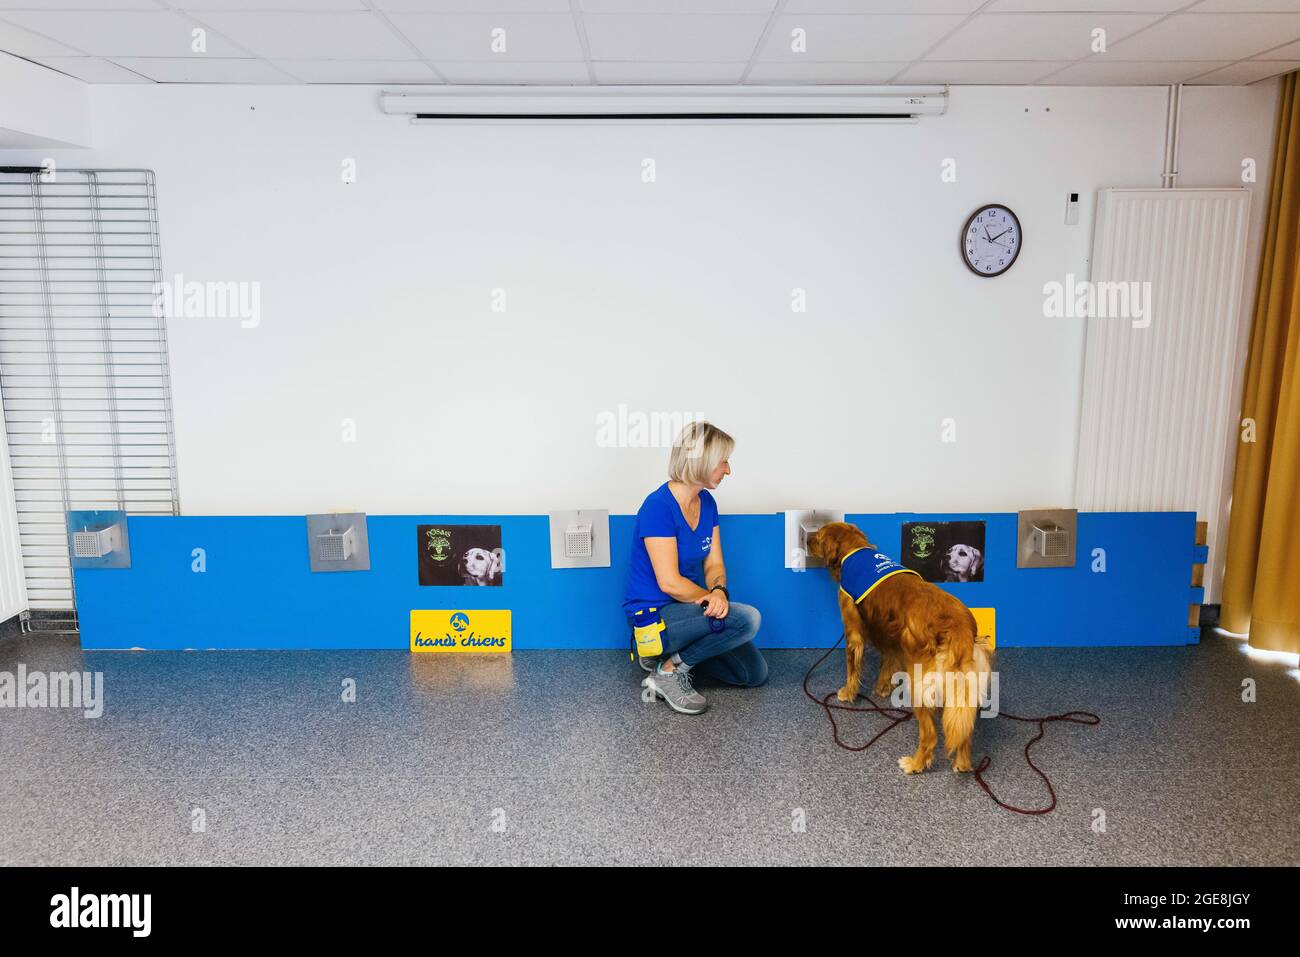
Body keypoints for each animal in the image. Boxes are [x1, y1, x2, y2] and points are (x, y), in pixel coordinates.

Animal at [806, 520, 987, 774]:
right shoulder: (890, 634)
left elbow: (853, 667)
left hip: (920, 684)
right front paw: (882, 687)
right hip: (961, 686)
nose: (806, 540)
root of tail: (959, 626)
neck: (855, 550)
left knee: (930, 736)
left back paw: (915, 764)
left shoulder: (854, 632)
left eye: (819, 537)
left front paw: (848, 693)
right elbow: (888, 660)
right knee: (963, 730)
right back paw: (962, 764)